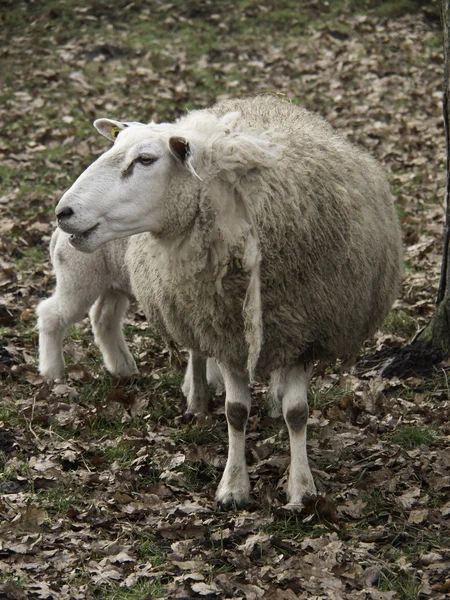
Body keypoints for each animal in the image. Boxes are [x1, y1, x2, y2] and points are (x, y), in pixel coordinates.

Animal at [53, 96, 404, 508]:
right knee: (194, 351)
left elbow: (298, 414)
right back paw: (196, 395)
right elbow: (235, 412)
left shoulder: (304, 332)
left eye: (145, 159)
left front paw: (301, 488)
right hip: (188, 301)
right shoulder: (221, 327)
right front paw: (234, 487)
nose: (63, 213)